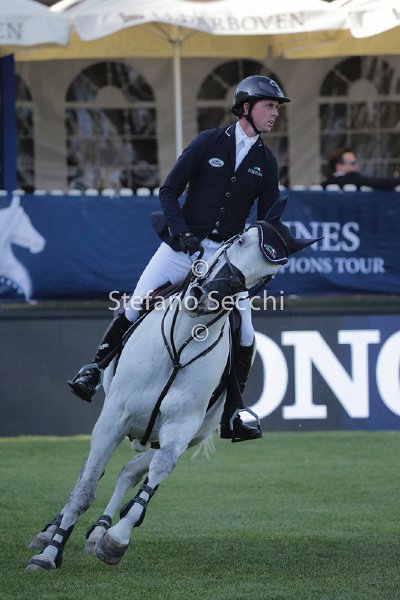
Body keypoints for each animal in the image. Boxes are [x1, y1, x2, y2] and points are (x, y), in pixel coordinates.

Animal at [26, 197, 319, 571]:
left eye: (268, 275)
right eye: (240, 240)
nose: (203, 298)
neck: (183, 341)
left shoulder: (181, 429)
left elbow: (154, 477)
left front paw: (116, 539)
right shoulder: (113, 418)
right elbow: (85, 488)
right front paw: (49, 554)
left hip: (183, 433)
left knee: (130, 472)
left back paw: (100, 531)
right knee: (91, 473)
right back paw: (51, 531)